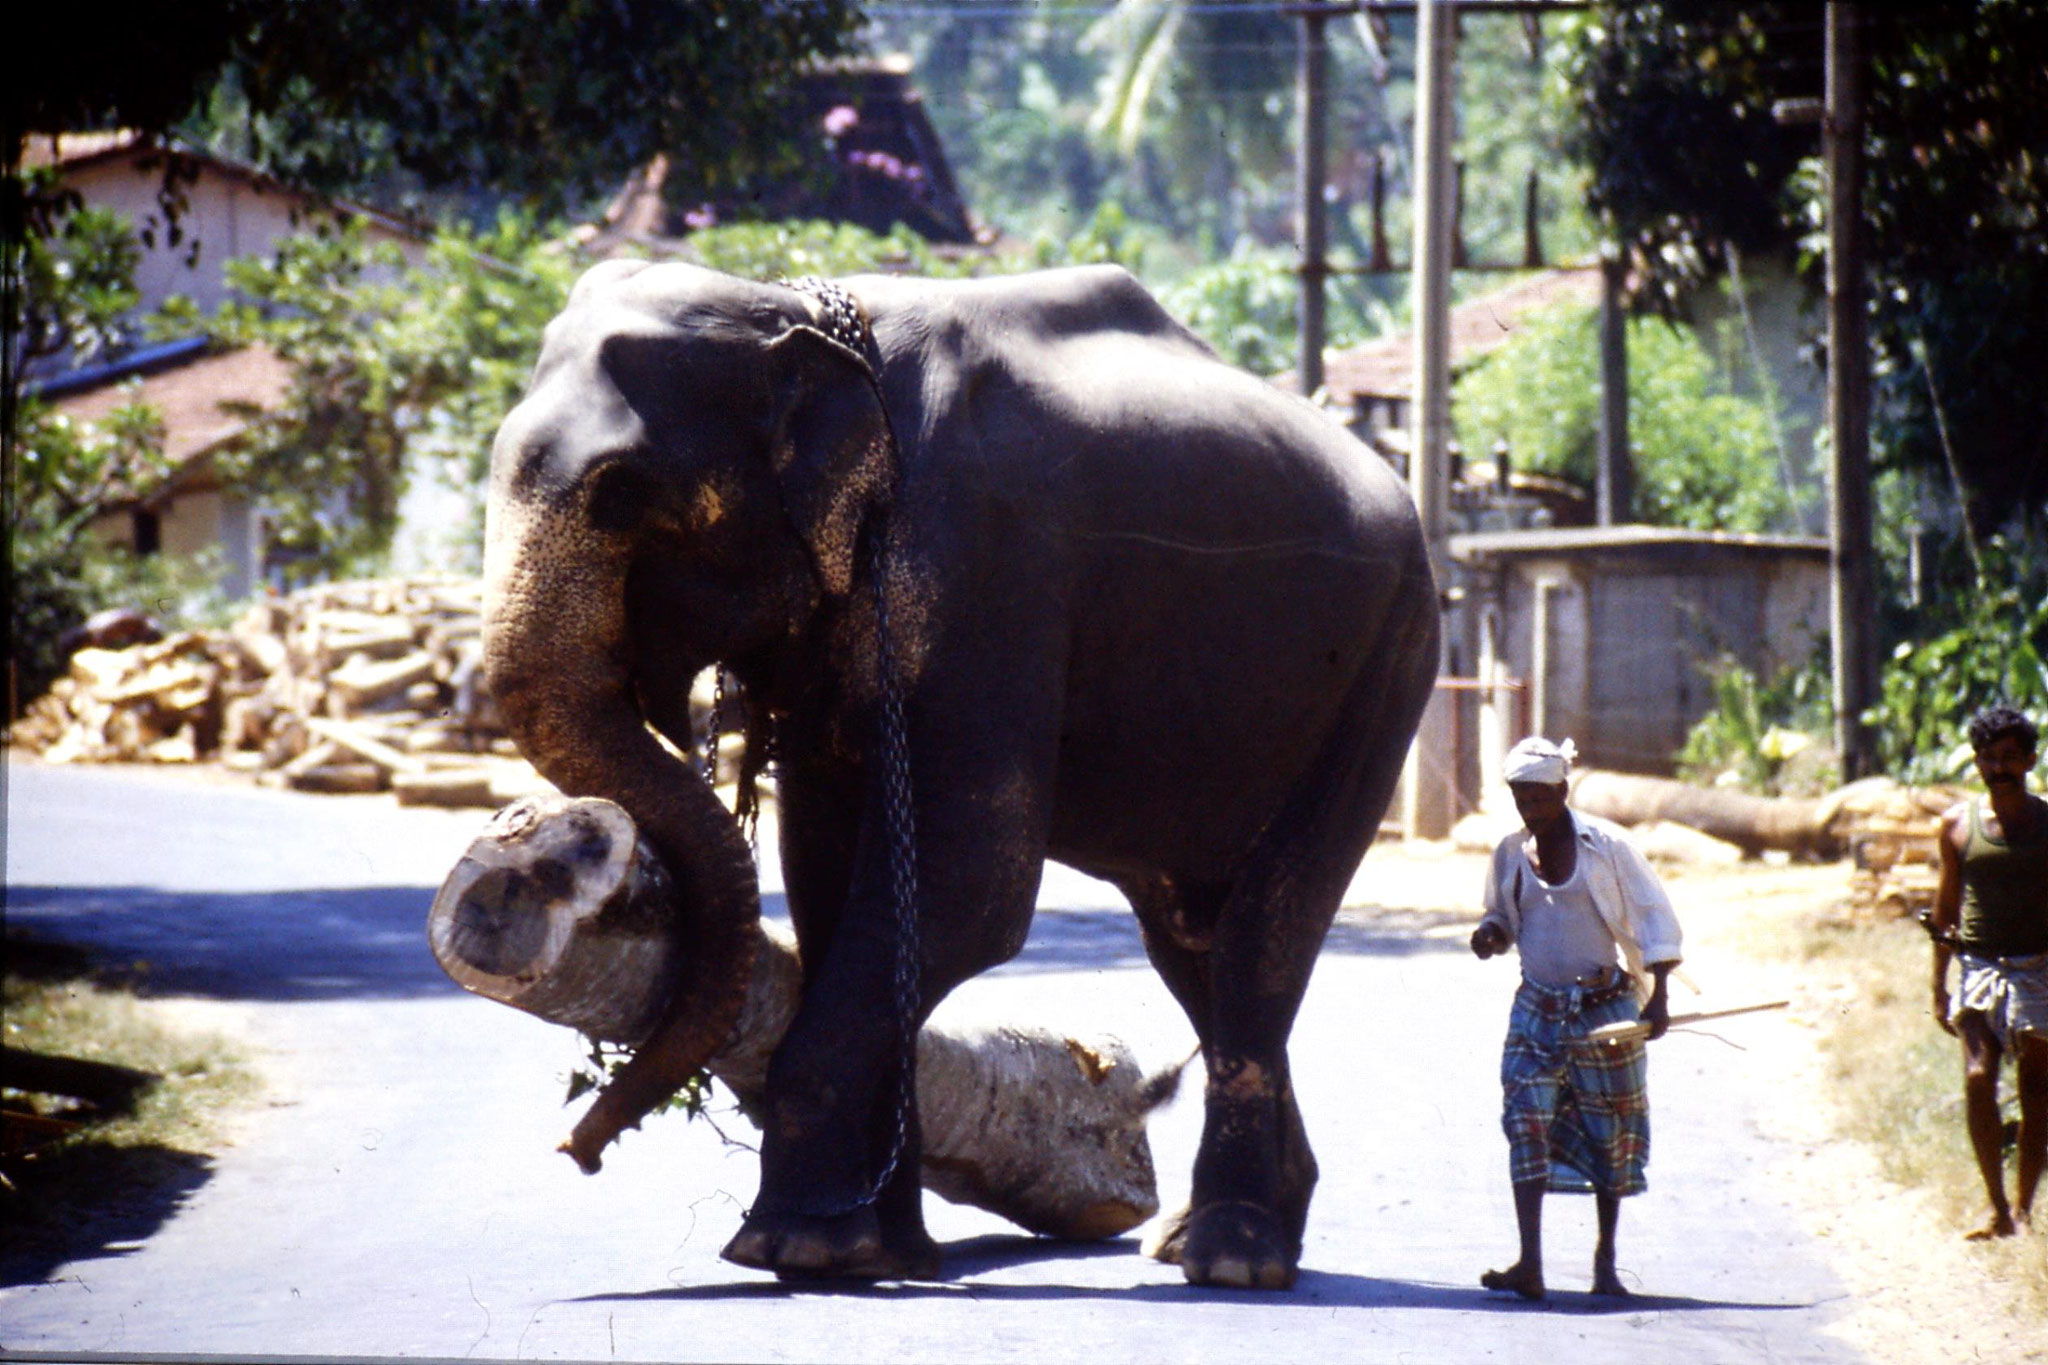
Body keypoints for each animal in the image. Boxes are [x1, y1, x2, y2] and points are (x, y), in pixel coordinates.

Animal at [479, 263, 1441, 1293]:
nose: (576, 1150)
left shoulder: (991, 576)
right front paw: (878, 1251)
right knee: (1193, 941)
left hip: (1388, 668)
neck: (795, 312)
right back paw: (1215, 1236)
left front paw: (788, 1248)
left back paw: (1230, 1258)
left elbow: (966, 888)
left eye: (621, 492)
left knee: (1266, 929)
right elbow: (829, 877)